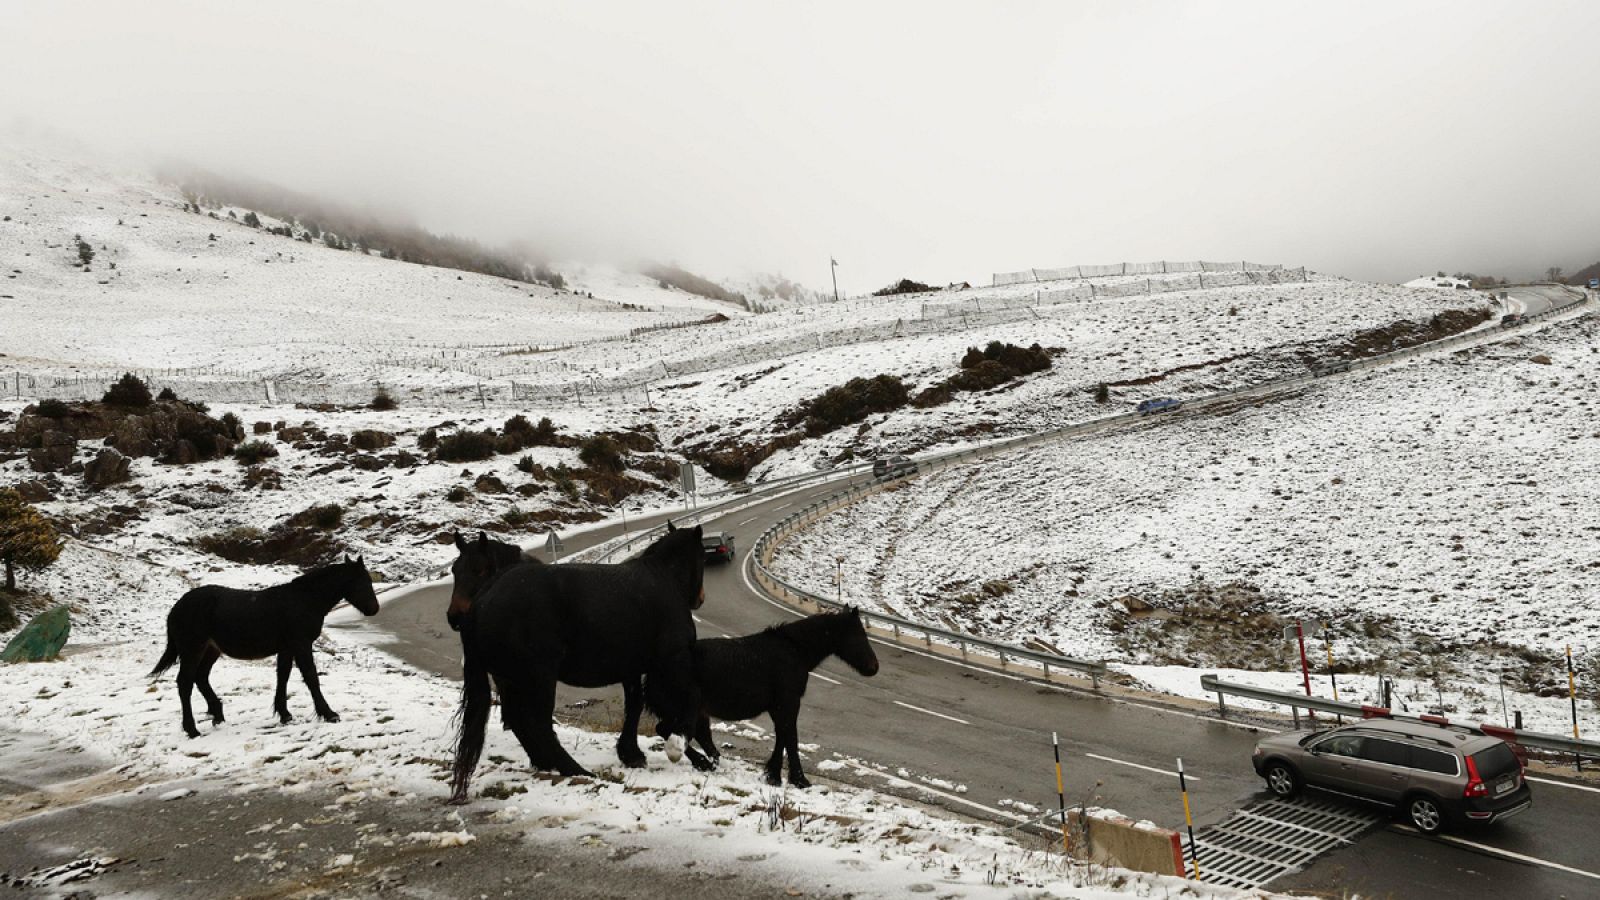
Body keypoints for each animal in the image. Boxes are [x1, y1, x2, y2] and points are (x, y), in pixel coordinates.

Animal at [152, 554, 384, 736]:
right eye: (362, 582)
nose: (374, 609)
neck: (304, 600)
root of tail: (176, 608)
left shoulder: (287, 648)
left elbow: (283, 676)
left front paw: (285, 714)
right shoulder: (301, 644)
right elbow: (311, 677)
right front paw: (329, 714)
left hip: (211, 649)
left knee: (201, 678)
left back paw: (217, 714)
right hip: (193, 649)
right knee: (185, 683)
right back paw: (192, 729)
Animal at [448, 518, 704, 797]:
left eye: (478, 568)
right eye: (455, 570)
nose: (453, 617)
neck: (664, 580)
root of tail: (482, 600)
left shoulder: (631, 668)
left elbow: (635, 705)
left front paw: (631, 753)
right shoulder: (671, 661)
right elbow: (684, 703)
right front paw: (686, 750)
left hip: (515, 678)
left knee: (520, 720)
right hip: (539, 677)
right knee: (537, 723)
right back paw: (575, 769)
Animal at [649, 602, 883, 784]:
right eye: (859, 635)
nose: (874, 667)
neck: (794, 650)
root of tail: (655, 669)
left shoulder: (778, 706)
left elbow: (782, 735)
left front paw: (774, 774)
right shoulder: (789, 702)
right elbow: (790, 737)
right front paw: (797, 779)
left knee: (693, 735)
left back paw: (711, 762)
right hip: (683, 709)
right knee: (669, 731)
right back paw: (703, 762)